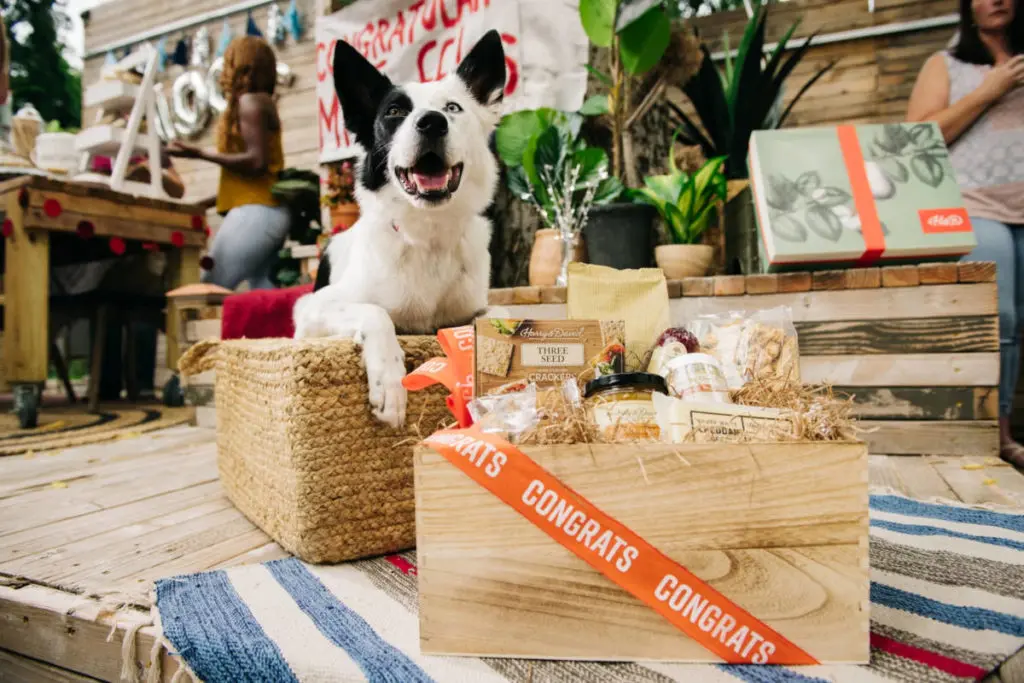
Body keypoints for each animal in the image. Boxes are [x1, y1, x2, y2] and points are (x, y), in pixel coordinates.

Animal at [294, 33, 505, 428]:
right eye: (394, 112)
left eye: (453, 108)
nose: (432, 123)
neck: (427, 237)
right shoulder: (310, 313)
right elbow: (375, 314)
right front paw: (390, 384)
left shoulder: (473, 309)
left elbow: (499, 316)